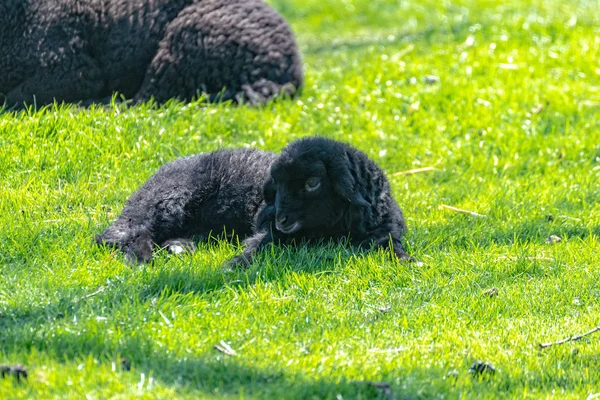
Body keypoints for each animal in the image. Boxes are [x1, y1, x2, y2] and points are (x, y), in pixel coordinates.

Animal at [227, 136, 410, 268]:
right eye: (277, 183)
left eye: (312, 183)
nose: (281, 220)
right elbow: (259, 244)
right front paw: (237, 263)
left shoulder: (384, 231)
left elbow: (392, 245)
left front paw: (406, 260)